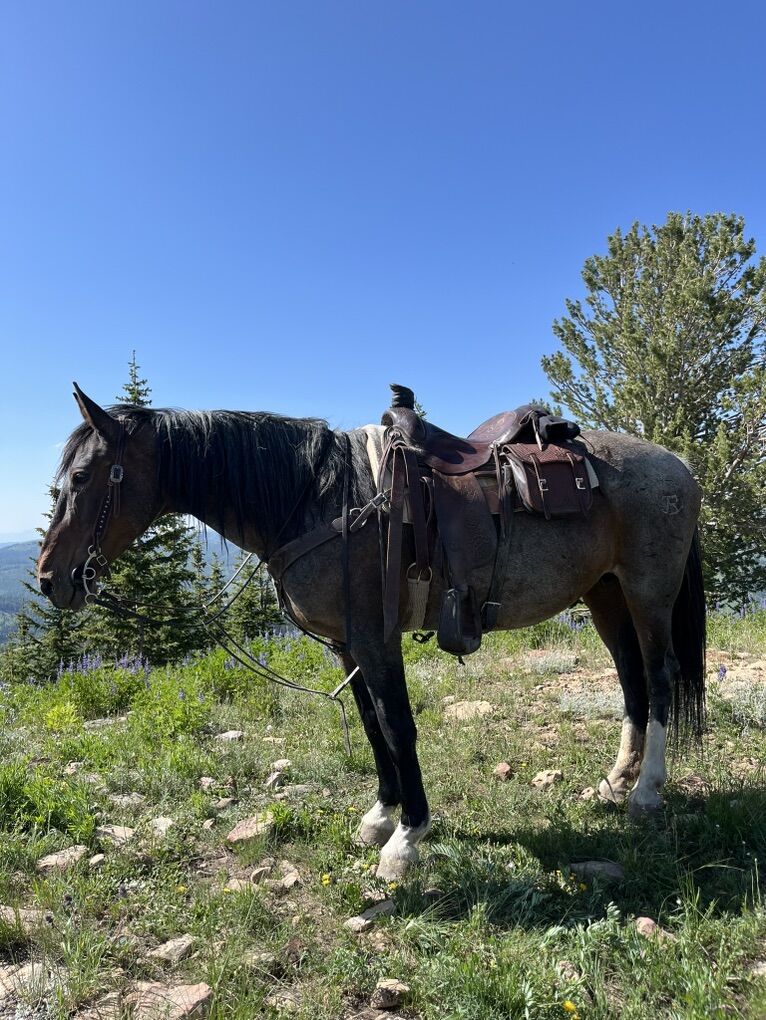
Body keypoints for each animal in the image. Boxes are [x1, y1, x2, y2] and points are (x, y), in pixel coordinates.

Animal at [37, 384, 706, 880]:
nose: (49, 578)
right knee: (631, 681)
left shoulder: (376, 640)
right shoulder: (347, 645)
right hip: (605, 593)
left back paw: (646, 792)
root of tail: (677, 464)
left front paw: (407, 839)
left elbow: (397, 725)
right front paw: (380, 815)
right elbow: (369, 725)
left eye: (84, 477)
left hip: (648, 592)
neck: (317, 498)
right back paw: (616, 782)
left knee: (659, 678)